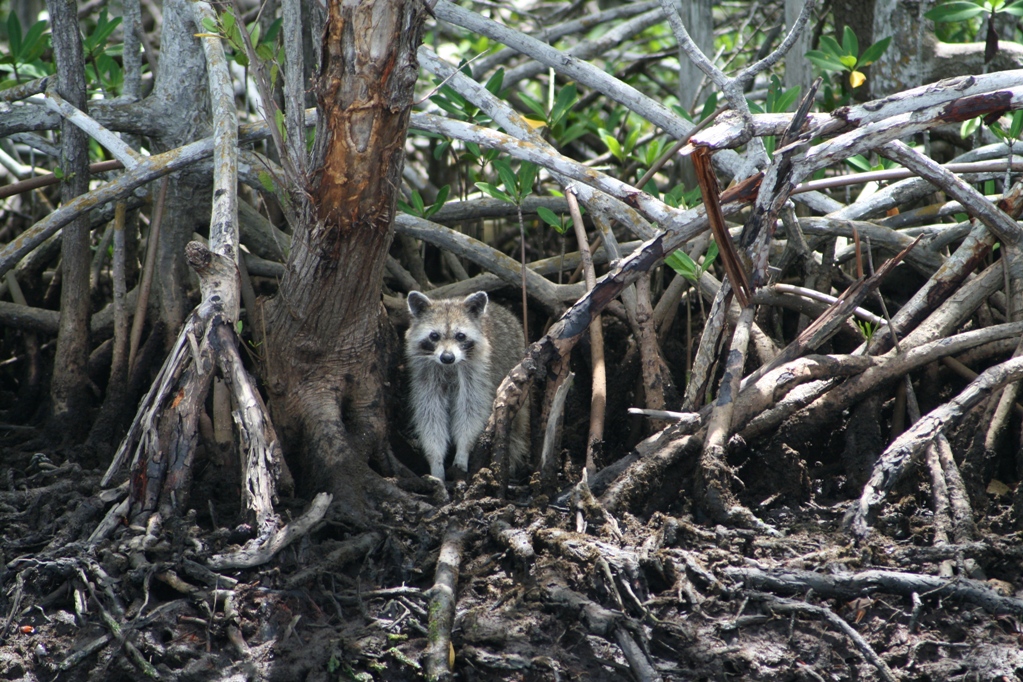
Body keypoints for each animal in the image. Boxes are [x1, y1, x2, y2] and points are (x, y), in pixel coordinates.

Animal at [405, 292, 531, 480]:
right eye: (434, 336)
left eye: (460, 336)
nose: (447, 357)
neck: (449, 367)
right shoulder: (426, 377)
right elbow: (430, 415)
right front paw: (436, 460)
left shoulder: (477, 374)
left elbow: (471, 411)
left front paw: (463, 451)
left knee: (516, 425)